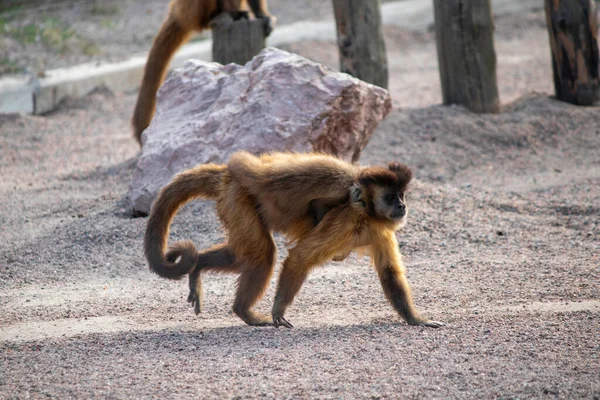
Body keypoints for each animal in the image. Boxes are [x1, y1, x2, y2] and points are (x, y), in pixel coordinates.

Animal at [143, 150, 442, 328]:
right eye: (391, 198)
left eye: (401, 196)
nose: (402, 206)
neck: (365, 214)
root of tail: (227, 174)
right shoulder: (344, 218)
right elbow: (299, 258)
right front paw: (278, 310)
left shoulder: (380, 228)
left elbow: (390, 272)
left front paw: (415, 319)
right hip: (237, 197)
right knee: (263, 254)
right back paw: (244, 311)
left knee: (248, 253)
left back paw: (199, 266)